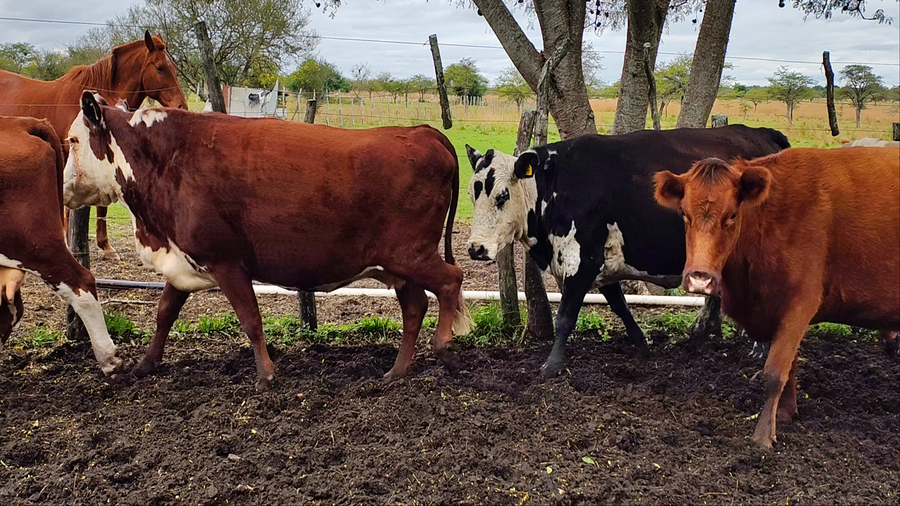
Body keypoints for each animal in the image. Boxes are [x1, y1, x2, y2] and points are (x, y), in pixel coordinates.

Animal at [63, 92, 471, 389]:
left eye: (72, 140)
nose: (61, 188)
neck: (168, 160)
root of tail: (423, 131)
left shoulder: (226, 262)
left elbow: (250, 319)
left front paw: (265, 373)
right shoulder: (184, 262)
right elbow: (164, 314)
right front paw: (146, 364)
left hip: (410, 254)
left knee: (451, 280)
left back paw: (443, 346)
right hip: (399, 265)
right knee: (416, 306)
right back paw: (397, 370)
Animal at [464, 125, 790, 377]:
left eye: (502, 195)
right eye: (472, 193)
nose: (476, 248)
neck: (559, 184)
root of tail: (763, 133)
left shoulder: (582, 262)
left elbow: (566, 316)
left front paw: (552, 365)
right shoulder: (603, 264)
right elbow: (619, 305)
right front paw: (641, 343)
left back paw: (761, 346)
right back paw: (705, 329)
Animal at [653, 147, 900, 447]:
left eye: (732, 215)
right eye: (685, 215)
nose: (700, 278)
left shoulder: (801, 302)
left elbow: (774, 371)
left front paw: (763, 435)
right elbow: (789, 366)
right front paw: (784, 413)